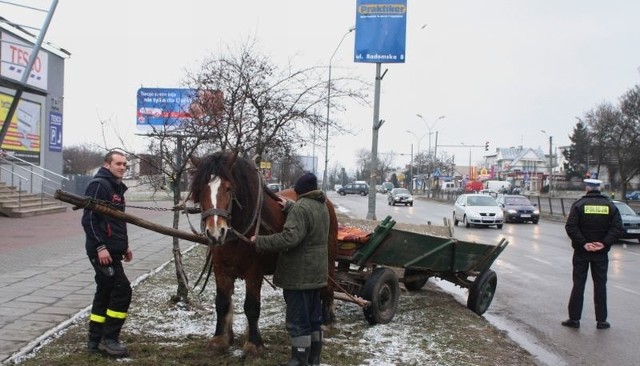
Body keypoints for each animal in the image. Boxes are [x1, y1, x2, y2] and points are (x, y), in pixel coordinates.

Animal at [189, 152, 340, 358]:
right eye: (200, 189)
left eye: (229, 188)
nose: (215, 232)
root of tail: (326, 203)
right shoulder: (221, 269)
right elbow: (221, 302)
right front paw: (220, 340)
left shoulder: (254, 272)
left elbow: (251, 307)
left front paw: (254, 345)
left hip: (328, 259)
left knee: (327, 288)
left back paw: (327, 322)